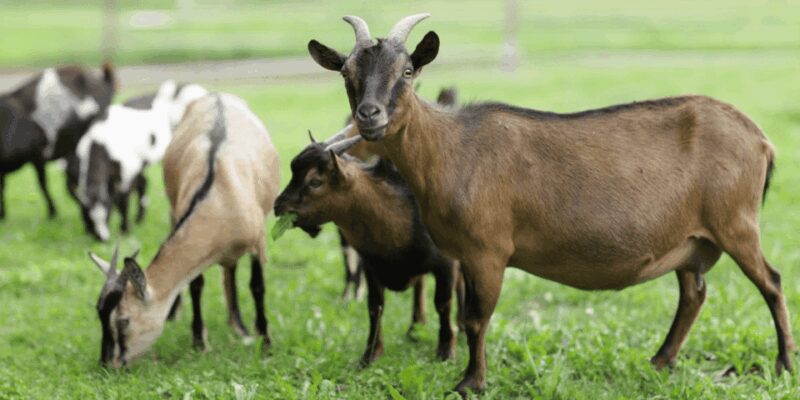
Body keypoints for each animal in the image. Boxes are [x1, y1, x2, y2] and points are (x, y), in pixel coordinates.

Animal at [66, 80, 208, 241]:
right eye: (88, 217)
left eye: (107, 214)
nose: (102, 238)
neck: (100, 145)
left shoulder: (128, 172)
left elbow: (123, 202)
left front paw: (124, 230)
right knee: (144, 183)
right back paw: (140, 219)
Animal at [88, 93, 280, 366]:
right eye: (100, 315)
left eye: (123, 321)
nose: (107, 364)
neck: (221, 196)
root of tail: (217, 95)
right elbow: (195, 285)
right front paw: (200, 342)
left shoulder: (258, 241)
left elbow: (257, 286)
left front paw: (265, 340)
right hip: (171, 209)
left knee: (231, 269)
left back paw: (239, 326)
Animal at [274, 128, 465, 366]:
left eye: (315, 182)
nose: (278, 206)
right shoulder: (371, 266)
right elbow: (375, 307)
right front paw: (370, 355)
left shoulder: (446, 264)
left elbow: (443, 303)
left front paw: (446, 350)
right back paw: (414, 328)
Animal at [308, 14, 792, 395]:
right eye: (346, 73)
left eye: (408, 70)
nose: (369, 115)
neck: (451, 149)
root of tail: (760, 139)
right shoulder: (461, 255)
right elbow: (464, 315)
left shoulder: (488, 249)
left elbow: (476, 318)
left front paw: (470, 383)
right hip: (691, 239)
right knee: (694, 293)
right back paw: (660, 360)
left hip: (736, 221)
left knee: (771, 282)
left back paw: (784, 364)